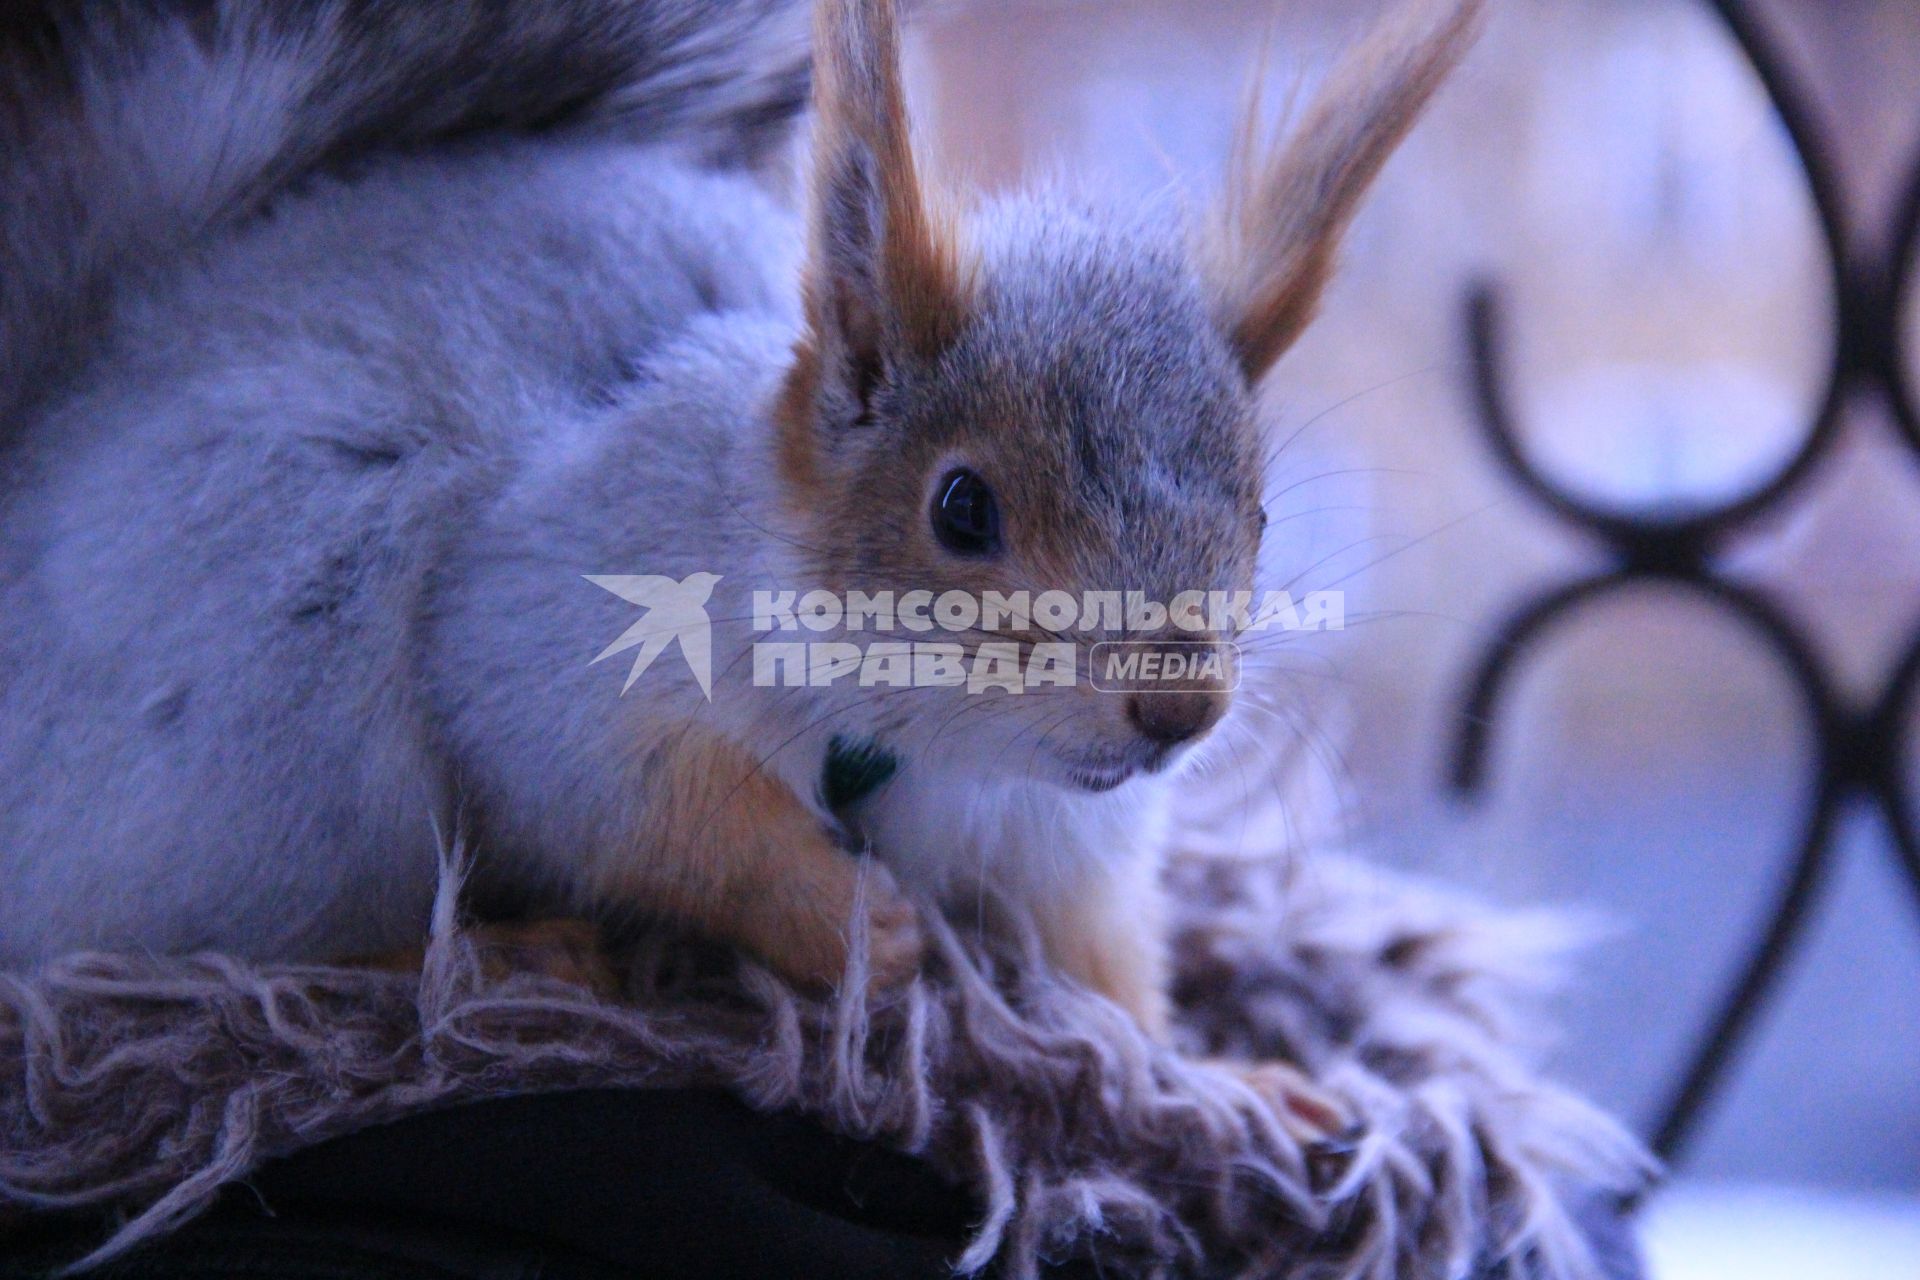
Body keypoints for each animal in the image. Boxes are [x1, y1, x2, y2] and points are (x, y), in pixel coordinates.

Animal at [0, 0, 1474, 1120]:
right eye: (962, 508)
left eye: (1262, 514)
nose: (1178, 712)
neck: (925, 744)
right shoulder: (556, 627)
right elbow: (646, 807)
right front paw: (857, 925)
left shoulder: (1063, 841)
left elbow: (1102, 979)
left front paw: (1223, 1082)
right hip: (286, 702)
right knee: (202, 947)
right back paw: (504, 958)